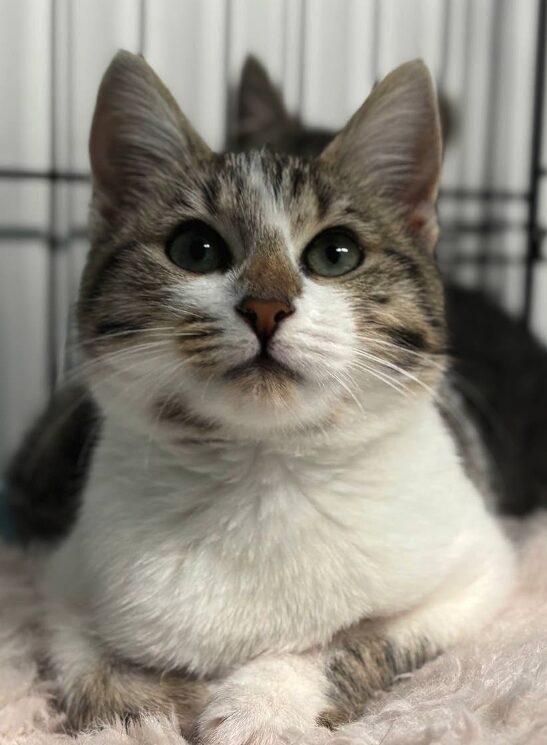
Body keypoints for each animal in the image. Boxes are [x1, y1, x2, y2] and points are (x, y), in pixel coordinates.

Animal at [32, 49, 516, 740]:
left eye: (337, 253)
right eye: (195, 248)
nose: (266, 305)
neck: (262, 473)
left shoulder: (478, 575)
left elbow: (360, 639)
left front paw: (265, 706)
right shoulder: (62, 577)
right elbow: (81, 657)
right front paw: (136, 711)